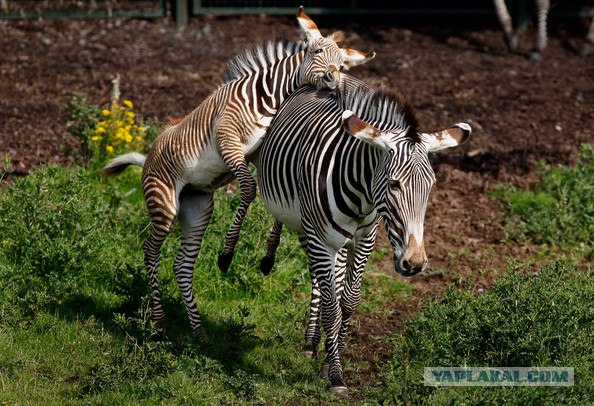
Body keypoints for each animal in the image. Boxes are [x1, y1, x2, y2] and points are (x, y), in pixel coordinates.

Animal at [99, 7, 372, 334]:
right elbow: (250, 190)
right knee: (150, 252)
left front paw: (265, 257)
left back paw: (198, 333)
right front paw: (227, 255)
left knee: (182, 265)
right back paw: (159, 323)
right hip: (163, 205)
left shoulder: (257, 155)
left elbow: (275, 198)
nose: (333, 78)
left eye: (342, 64)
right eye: (316, 51)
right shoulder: (228, 144)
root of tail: (147, 159)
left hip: (197, 207)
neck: (266, 98)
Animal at [256, 77, 470, 394]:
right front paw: (335, 375)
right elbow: (332, 306)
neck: (362, 194)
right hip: (309, 230)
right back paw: (311, 342)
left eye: (430, 185)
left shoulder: (366, 238)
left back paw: (317, 342)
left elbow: (349, 300)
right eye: (393, 184)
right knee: (318, 279)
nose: (414, 263)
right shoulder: (321, 239)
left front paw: (332, 357)